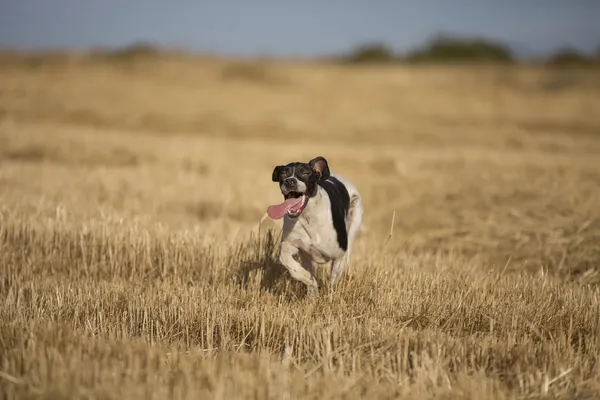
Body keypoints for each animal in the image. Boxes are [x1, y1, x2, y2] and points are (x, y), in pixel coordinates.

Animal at [268, 156, 364, 296]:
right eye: (283, 173)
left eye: (305, 173)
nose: (290, 181)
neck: (308, 216)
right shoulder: (290, 244)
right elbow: (286, 258)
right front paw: (307, 279)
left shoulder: (339, 254)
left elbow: (334, 279)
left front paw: (331, 296)